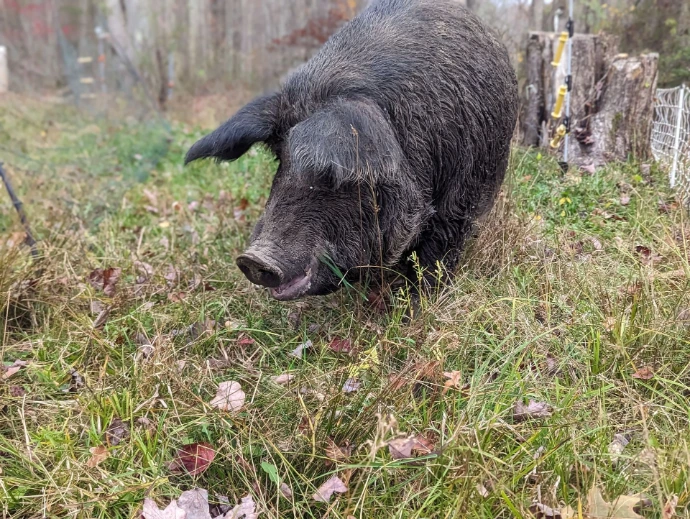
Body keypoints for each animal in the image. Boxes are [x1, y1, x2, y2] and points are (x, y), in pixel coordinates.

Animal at [185, 0, 518, 301]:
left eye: (331, 175)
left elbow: (436, 257)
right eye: (281, 157)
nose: (253, 259)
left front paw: (416, 303)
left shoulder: (459, 201)